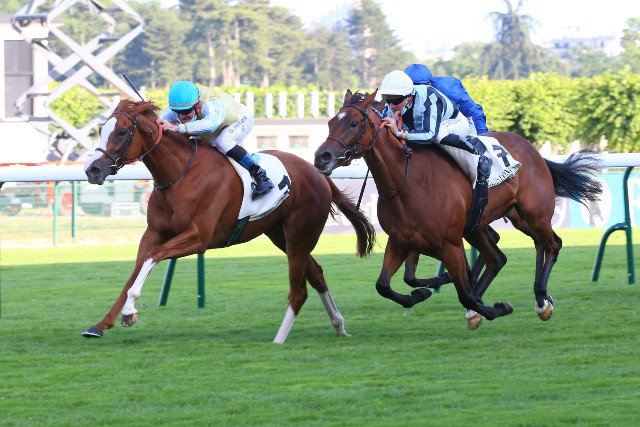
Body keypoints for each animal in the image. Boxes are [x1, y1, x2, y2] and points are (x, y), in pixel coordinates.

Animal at [82, 99, 375, 344]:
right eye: (101, 129)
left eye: (121, 132)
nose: (92, 169)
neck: (179, 174)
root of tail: (318, 173)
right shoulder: (154, 233)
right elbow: (138, 266)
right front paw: (101, 324)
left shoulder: (199, 236)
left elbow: (153, 257)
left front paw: (130, 310)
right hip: (281, 235)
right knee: (316, 274)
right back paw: (338, 325)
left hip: (299, 235)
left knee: (301, 287)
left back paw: (282, 338)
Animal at [314, 90, 602, 327]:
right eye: (330, 123)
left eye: (353, 123)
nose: (321, 157)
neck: (407, 182)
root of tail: (533, 151)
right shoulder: (400, 241)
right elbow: (383, 285)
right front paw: (420, 293)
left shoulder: (449, 243)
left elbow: (465, 295)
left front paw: (497, 308)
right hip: (491, 223)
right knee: (502, 256)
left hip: (534, 214)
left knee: (552, 244)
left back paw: (541, 300)